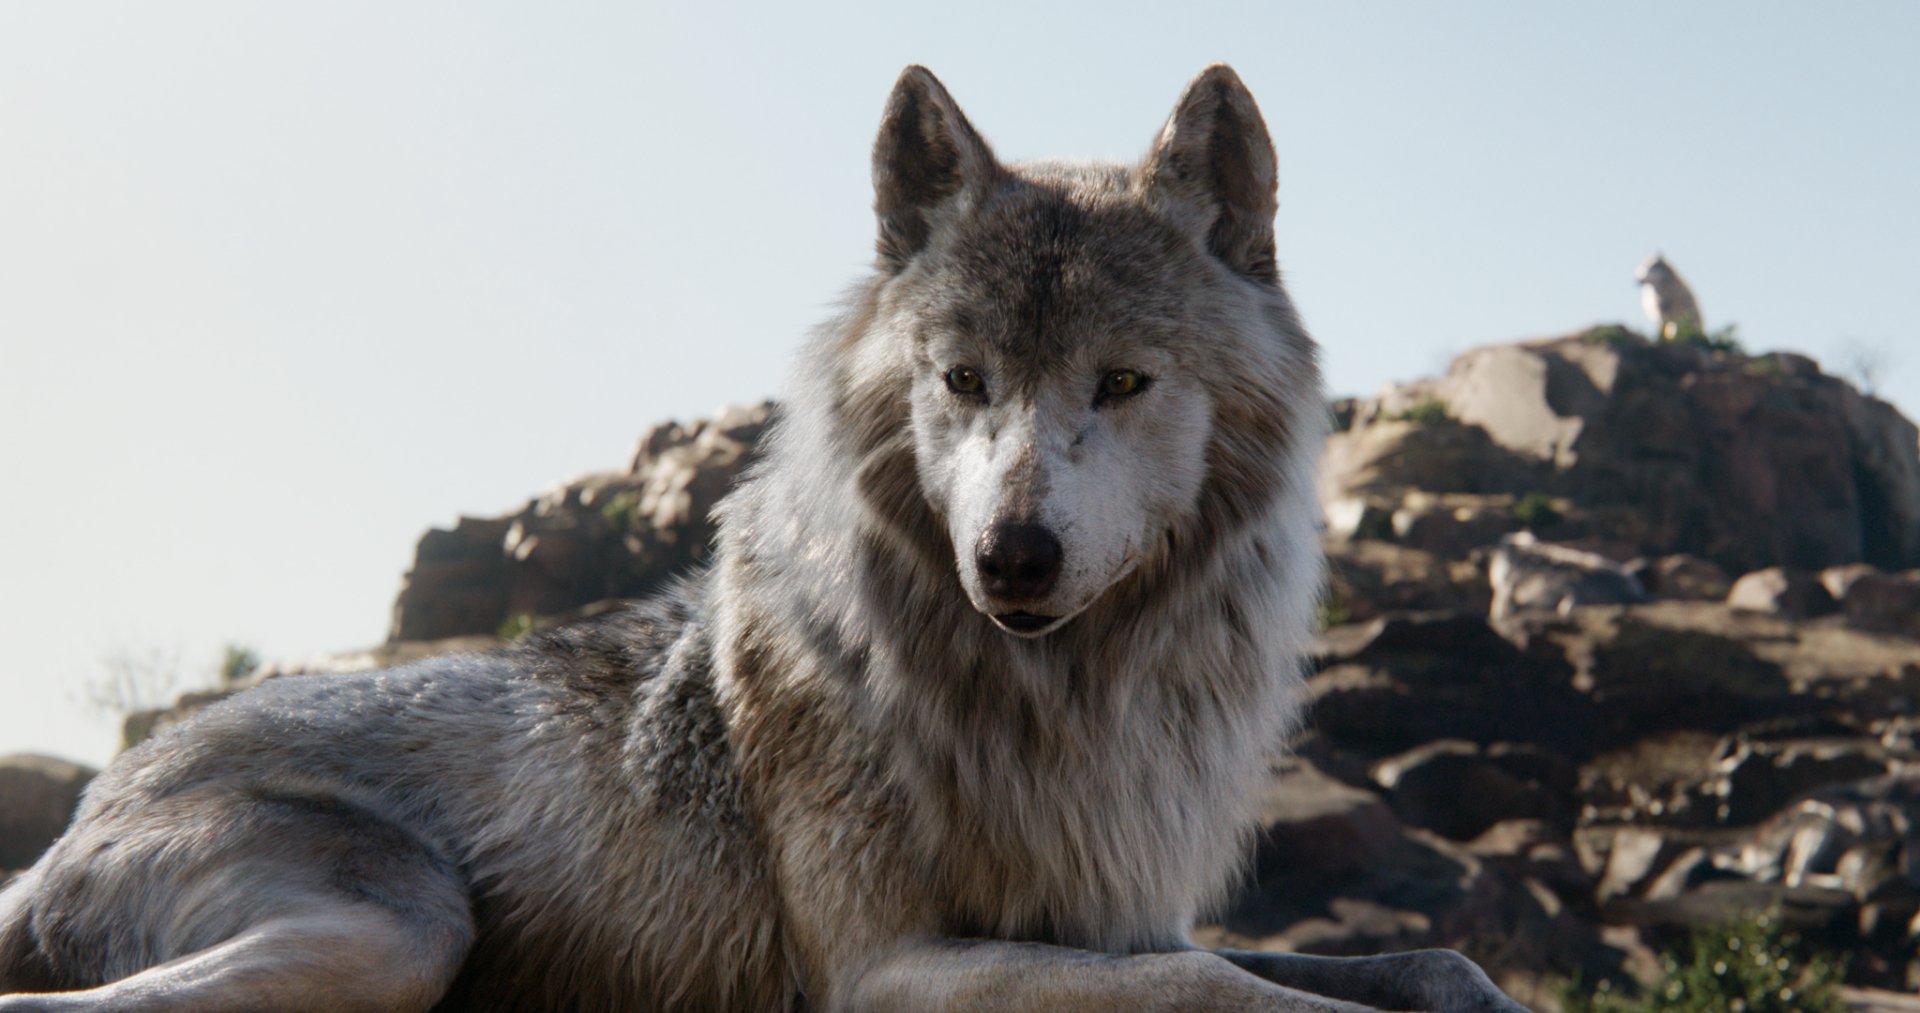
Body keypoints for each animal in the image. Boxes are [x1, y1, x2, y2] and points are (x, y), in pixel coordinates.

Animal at [0, 66, 1524, 1012]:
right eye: (962, 379)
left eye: (1124, 380)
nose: (1011, 560)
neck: (1051, 702)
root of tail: (99, 795)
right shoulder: (893, 966)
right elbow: (1219, 985)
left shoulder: (1121, 920)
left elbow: (1435, 966)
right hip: (401, 923)